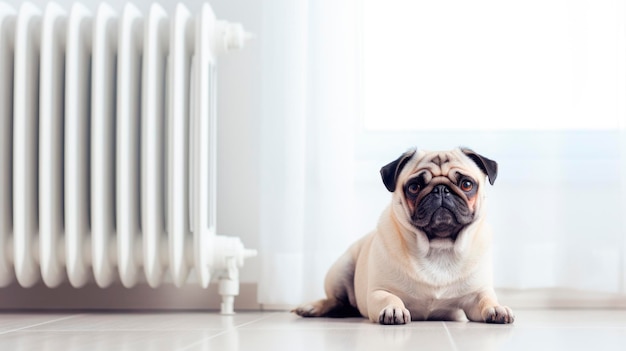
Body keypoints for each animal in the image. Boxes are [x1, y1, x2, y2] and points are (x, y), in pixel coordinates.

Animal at [292, 147, 512, 326]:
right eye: (414, 187)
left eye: (466, 184)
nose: (441, 189)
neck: (438, 247)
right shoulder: (378, 291)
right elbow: (390, 298)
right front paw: (393, 310)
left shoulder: (476, 294)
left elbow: (486, 299)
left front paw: (497, 308)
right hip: (341, 269)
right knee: (335, 300)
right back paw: (311, 307)